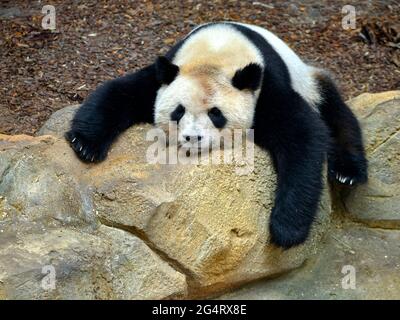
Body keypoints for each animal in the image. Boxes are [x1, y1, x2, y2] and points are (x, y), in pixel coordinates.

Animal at [65, 21, 368, 250]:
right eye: (178, 111)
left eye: (216, 114)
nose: (192, 138)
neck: (216, 51)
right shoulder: (166, 74)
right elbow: (120, 91)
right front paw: (84, 144)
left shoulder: (266, 88)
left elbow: (303, 135)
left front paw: (286, 230)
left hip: (310, 81)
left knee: (337, 115)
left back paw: (347, 172)